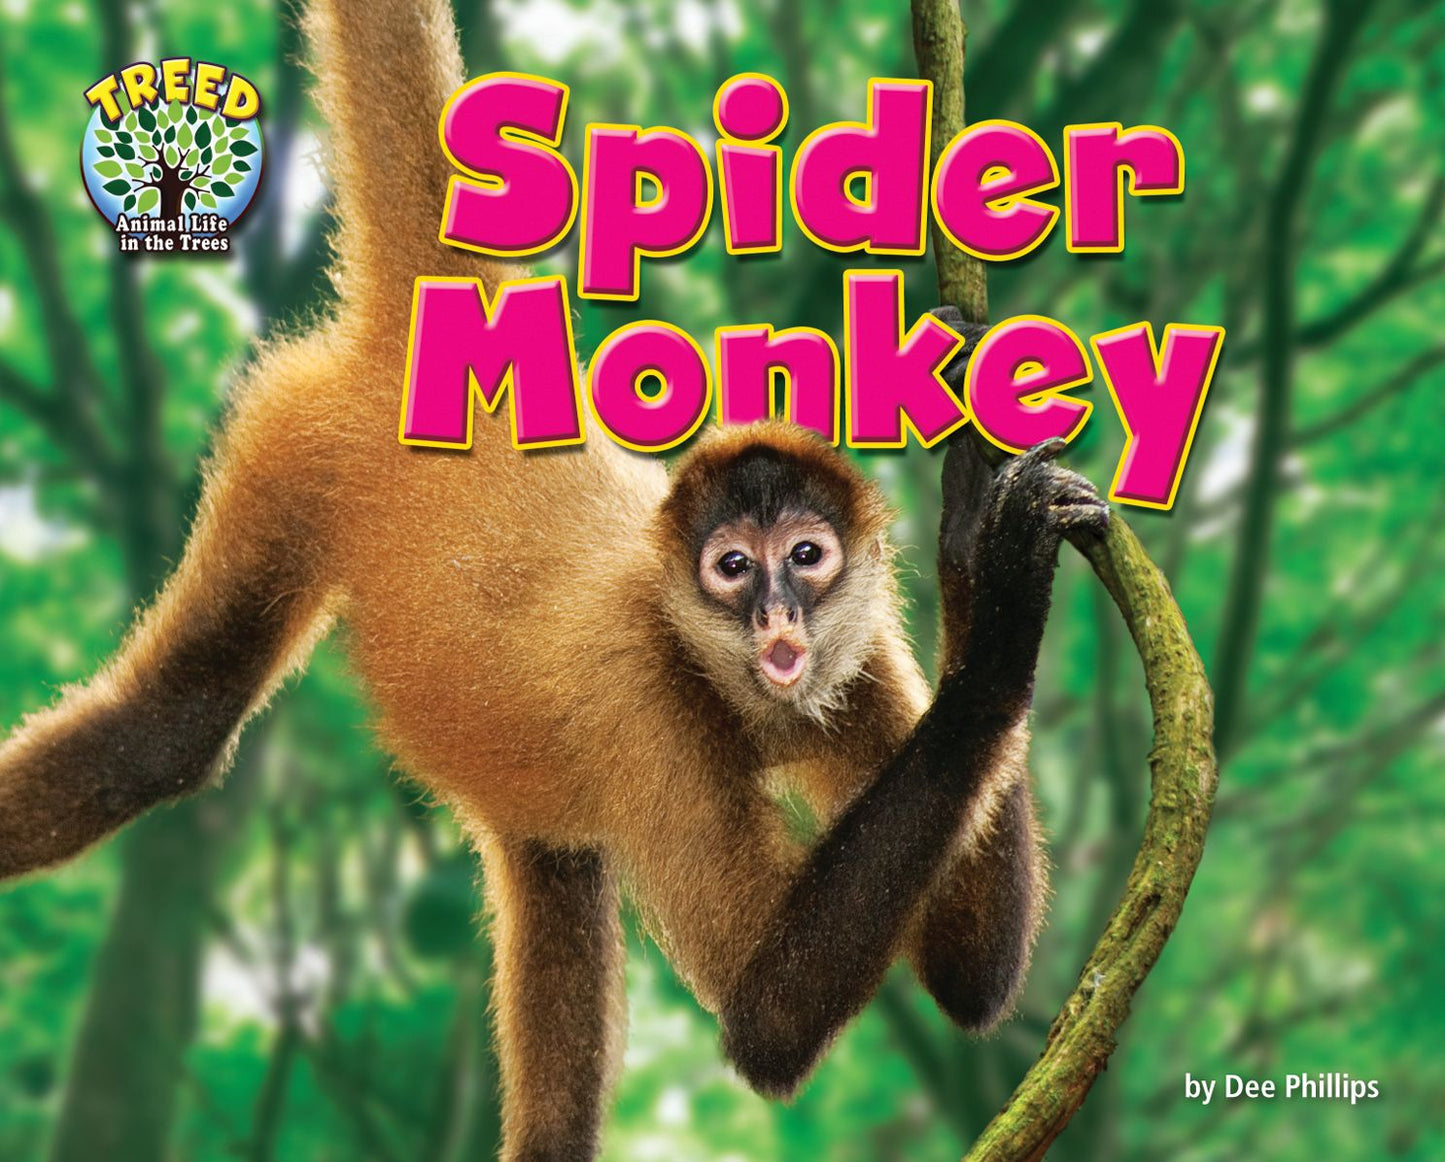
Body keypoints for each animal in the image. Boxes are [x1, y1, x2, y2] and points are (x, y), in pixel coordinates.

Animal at [0, 1, 1110, 1158]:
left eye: (806, 556)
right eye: (730, 568)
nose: (775, 610)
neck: (723, 678)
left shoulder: (859, 663)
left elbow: (965, 979)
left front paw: (968, 527)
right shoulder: (643, 696)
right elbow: (765, 1019)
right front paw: (1007, 598)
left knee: (553, 887)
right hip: (296, 446)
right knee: (168, 732)